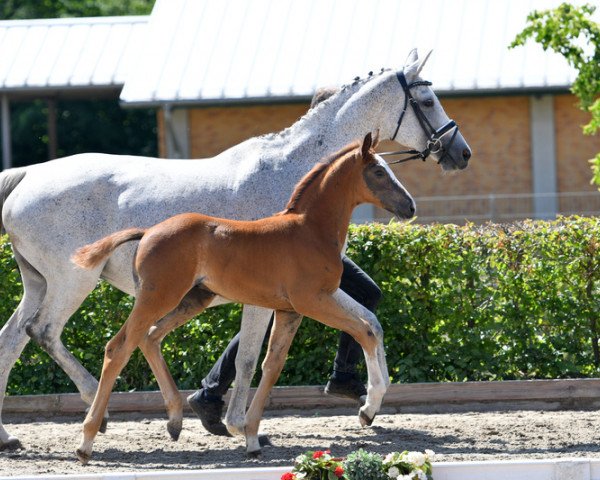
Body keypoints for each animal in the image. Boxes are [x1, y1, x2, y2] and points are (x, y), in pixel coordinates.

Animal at [72, 132, 414, 462]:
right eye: (379, 172)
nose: (410, 207)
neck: (310, 231)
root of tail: (147, 232)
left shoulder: (291, 310)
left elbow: (272, 365)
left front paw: (251, 437)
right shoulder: (312, 301)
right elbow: (364, 331)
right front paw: (368, 408)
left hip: (193, 299)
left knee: (150, 337)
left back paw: (175, 420)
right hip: (158, 297)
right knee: (119, 347)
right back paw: (87, 441)